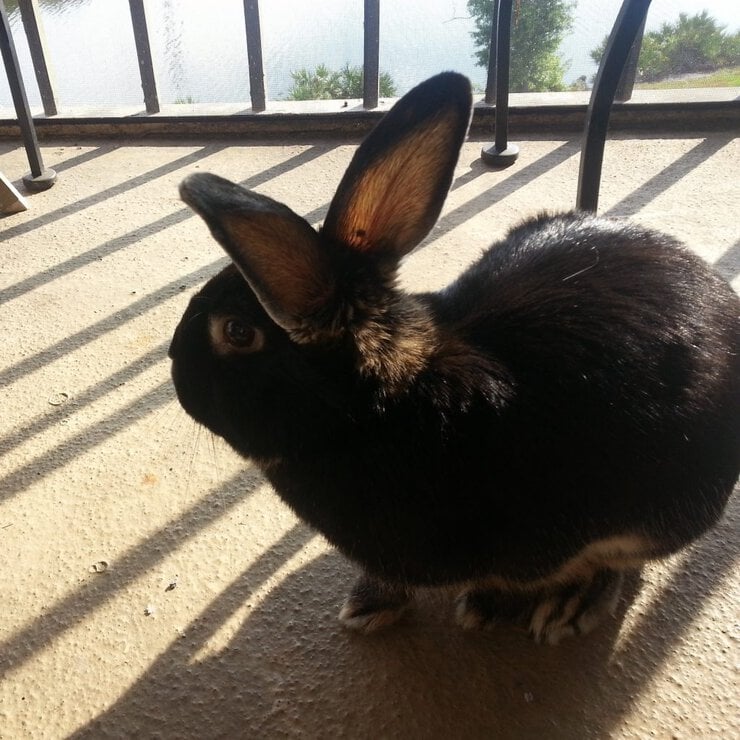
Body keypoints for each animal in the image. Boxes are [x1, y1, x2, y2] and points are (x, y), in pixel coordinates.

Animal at [169, 72, 740, 645]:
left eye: (238, 332)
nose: (175, 369)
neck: (380, 408)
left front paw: (502, 605)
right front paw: (370, 604)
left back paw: (570, 606)